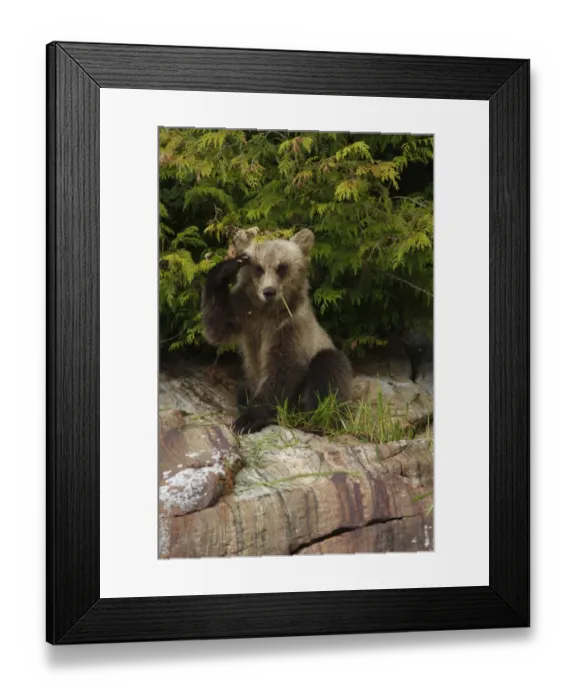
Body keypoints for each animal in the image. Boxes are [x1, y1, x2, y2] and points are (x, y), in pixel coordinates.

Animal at [201, 227, 353, 434]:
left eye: (282, 267)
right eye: (259, 268)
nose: (269, 291)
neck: (268, 311)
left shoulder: (290, 326)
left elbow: (283, 369)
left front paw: (249, 420)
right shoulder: (245, 313)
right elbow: (217, 327)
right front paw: (227, 268)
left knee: (329, 370)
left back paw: (316, 420)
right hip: (248, 373)